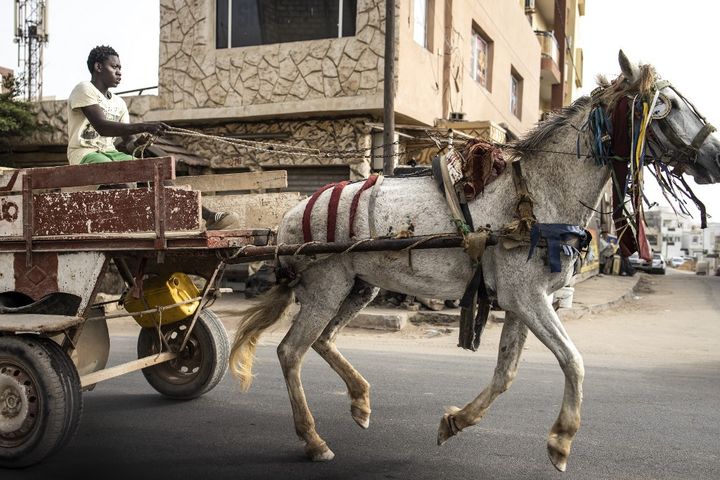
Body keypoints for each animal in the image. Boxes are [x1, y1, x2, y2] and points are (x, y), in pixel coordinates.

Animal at [229, 51, 720, 471]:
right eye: (665, 106)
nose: (715, 156)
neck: (535, 196)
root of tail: (290, 217)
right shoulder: (527, 298)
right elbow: (573, 360)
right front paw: (561, 441)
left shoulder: (525, 302)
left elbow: (506, 372)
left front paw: (455, 422)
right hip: (327, 287)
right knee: (291, 350)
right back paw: (313, 440)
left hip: (359, 286)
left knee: (324, 340)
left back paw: (360, 401)